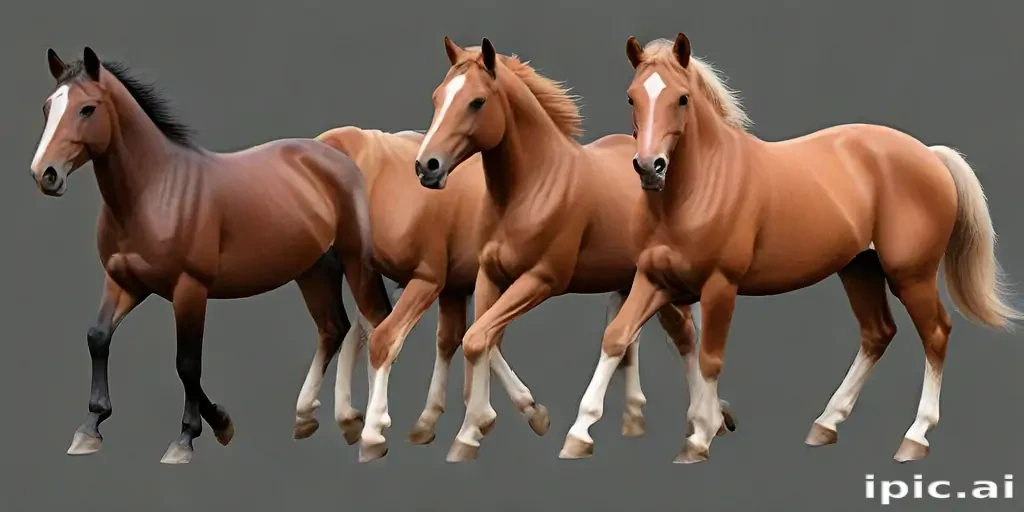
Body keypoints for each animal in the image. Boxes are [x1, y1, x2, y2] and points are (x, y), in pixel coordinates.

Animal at [30, 47, 394, 465]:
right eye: (47, 107)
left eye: (87, 108)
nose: (45, 174)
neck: (154, 191)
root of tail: (333, 153)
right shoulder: (124, 282)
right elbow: (98, 337)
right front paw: (92, 427)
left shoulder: (190, 289)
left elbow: (187, 364)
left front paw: (187, 438)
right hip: (313, 270)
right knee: (333, 328)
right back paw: (314, 418)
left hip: (356, 263)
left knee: (377, 324)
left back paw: (372, 432)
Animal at [413, 37, 737, 463]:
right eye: (436, 97)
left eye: (477, 101)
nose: (426, 166)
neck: (530, 188)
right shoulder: (489, 276)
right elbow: (480, 339)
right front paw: (491, 423)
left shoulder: (541, 280)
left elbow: (477, 338)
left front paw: (479, 430)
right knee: (635, 335)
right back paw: (639, 418)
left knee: (683, 337)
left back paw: (707, 422)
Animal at [563, 33, 1021, 464]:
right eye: (632, 96)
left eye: (682, 98)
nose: (649, 168)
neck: (699, 190)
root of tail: (929, 155)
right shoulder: (653, 279)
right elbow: (616, 338)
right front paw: (578, 434)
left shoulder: (720, 287)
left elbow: (710, 358)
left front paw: (699, 438)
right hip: (860, 268)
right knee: (877, 333)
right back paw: (826, 424)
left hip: (912, 275)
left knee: (936, 334)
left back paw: (915, 437)